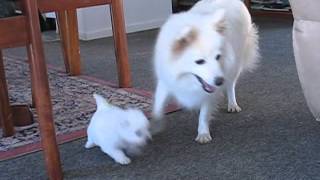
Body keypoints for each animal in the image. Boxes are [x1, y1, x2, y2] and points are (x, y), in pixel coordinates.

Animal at [151, 0, 258, 143]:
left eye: (218, 57)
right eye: (200, 61)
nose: (219, 81)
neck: (185, 77)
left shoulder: (210, 89)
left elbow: (204, 112)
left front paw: (203, 133)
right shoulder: (165, 80)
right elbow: (158, 105)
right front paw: (152, 125)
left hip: (235, 64)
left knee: (231, 85)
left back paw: (232, 104)